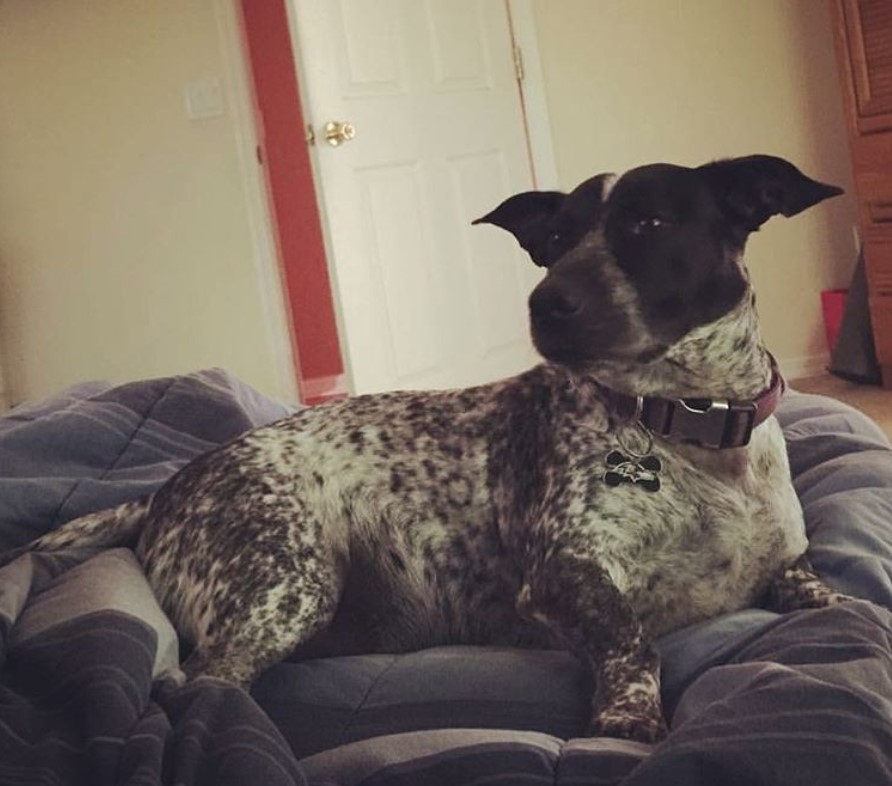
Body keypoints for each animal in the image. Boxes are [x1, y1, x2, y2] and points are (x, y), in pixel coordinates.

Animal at [1, 153, 852, 740]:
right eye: (554, 241)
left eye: (650, 224)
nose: (546, 302)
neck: (689, 428)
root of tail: (165, 491)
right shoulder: (565, 576)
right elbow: (632, 641)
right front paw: (628, 717)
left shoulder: (787, 564)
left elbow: (821, 596)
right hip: (287, 586)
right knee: (194, 687)